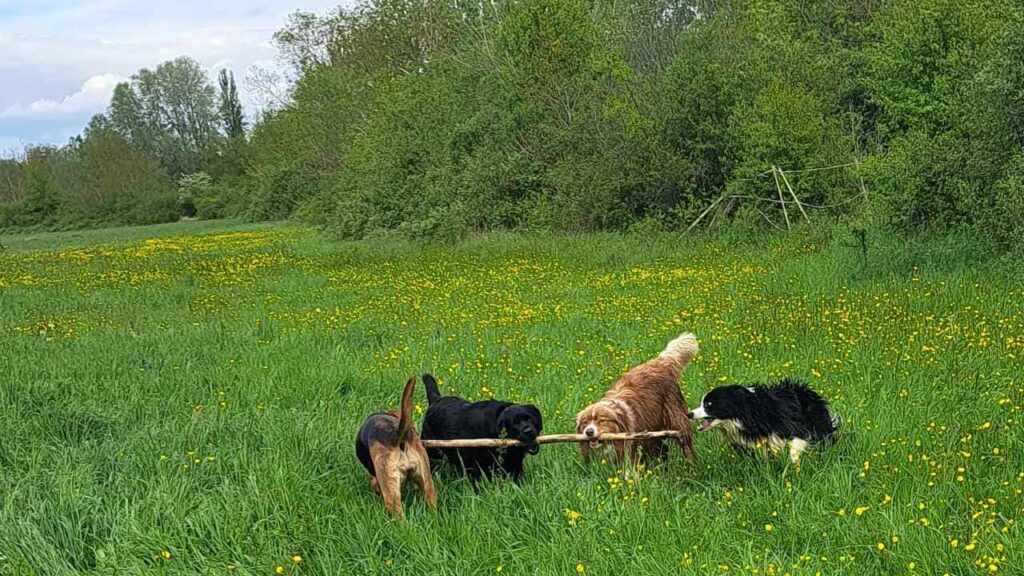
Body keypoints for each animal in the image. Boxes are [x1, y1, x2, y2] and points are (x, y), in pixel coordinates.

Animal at [577, 332, 696, 467]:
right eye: (585, 423)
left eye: (601, 420)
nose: (589, 432)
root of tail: (661, 362)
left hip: (676, 420)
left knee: (685, 443)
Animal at [688, 379, 839, 463]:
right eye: (702, 403)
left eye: (709, 404)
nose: (689, 414)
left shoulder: (793, 428)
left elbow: (794, 450)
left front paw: (795, 468)